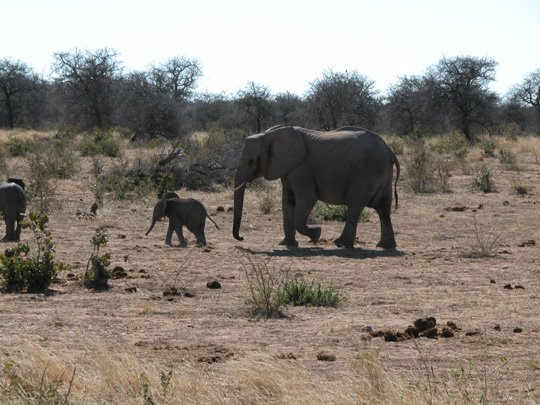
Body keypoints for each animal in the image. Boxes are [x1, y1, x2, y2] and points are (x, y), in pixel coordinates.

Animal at [233, 124, 400, 248]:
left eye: (251, 162)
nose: (242, 238)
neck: (269, 134)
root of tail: (389, 151)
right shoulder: (288, 170)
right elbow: (287, 202)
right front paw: (286, 244)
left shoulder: (301, 169)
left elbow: (307, 199)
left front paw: (316, 235)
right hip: (382, 173)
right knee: (383, 209)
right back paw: (385, 246)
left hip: (367, 173)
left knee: (355, 205)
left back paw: (341, 244)